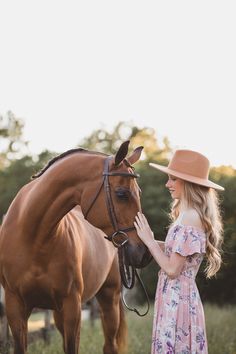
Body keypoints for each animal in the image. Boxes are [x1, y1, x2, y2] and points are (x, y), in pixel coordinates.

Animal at [0, 141, 151, 354]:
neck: (34, 237)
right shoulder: (15, 307)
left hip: (109, 298)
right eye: (122, 194)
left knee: (110, 345)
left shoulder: (72, 307)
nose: (144, 253)